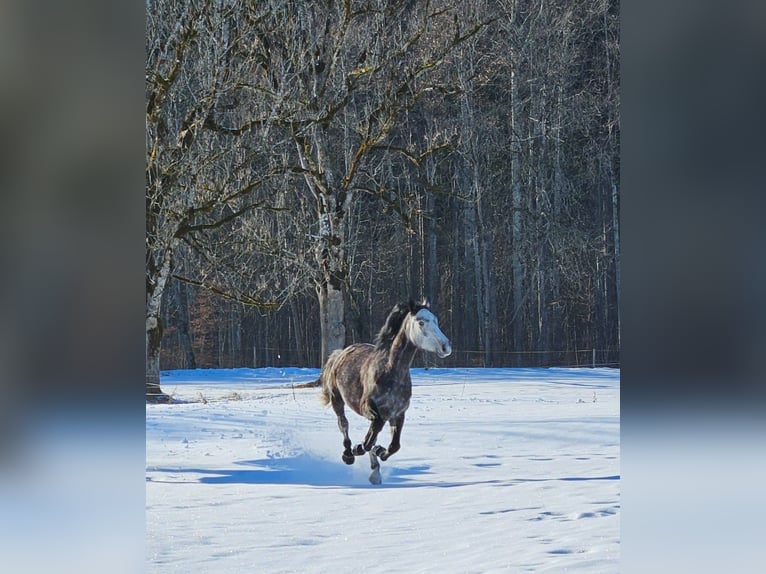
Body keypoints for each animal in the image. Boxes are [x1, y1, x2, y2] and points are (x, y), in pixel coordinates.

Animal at [319, 299, 452, 484]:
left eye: (436, 320)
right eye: (421, 322)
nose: (446, 347)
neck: (391, 372)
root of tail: (340, 353)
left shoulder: (398, 414)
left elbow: (394, 446)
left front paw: (378, 453)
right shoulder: (371, 410)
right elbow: (368, 440)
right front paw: (359, 449)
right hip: (336, 398)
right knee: (343, 423)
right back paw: (348, 454)